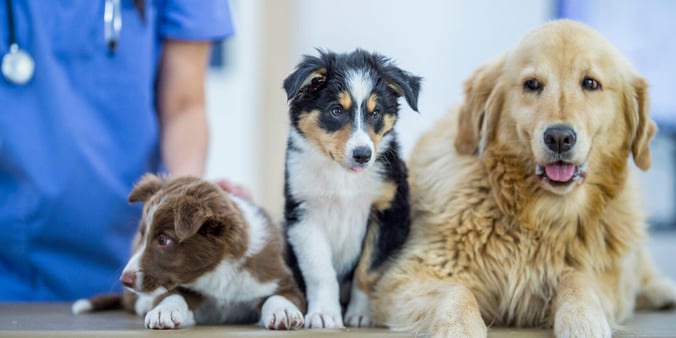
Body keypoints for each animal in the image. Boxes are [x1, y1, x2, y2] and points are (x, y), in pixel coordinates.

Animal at [75, 174, 304, 330]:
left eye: (163, 240)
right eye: (142, 235)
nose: (125, 280)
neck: (217, 272)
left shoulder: (278, 278)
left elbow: (280, 296)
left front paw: (284, 311)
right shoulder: (182, 286)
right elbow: (172, 295)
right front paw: (163, 311)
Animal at [282, 49, 420, 328]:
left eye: (376, 113)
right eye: (336, 111)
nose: (363, 155)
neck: (343, 177)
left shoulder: (389, 212)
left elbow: (368, 269)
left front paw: (360, 314)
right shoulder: (303, 214)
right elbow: (320, 271)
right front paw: (324, 314)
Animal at [372, 19, 676, 336]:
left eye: (591, 83)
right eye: (532, 84)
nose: (559, 138)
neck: (540, 214)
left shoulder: (607, 278)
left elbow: (579, 279)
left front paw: (582, 320)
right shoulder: (406, 275)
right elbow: (455, 293)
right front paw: (461, 327)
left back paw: (662, 291)